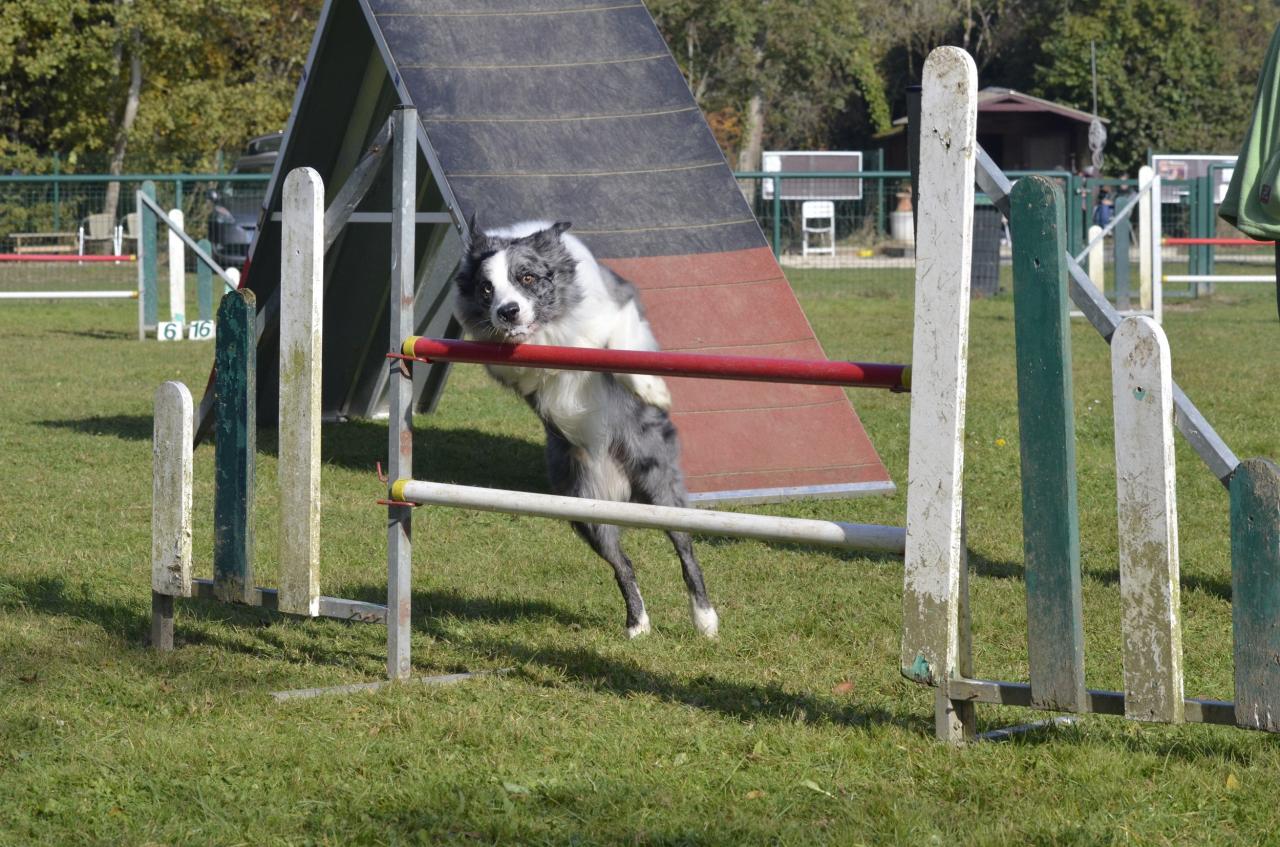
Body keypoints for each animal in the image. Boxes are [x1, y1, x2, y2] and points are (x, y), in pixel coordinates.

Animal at [453, 222, 721, 639]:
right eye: (486, 289)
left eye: (526, 278)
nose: (507, 312)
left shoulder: (617, 305)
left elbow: (617, 342)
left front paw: (653, 390)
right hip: (583, 507)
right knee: (623, 563)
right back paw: (637, 624)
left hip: (660, 484)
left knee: (685, 550)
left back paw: (705, 620)